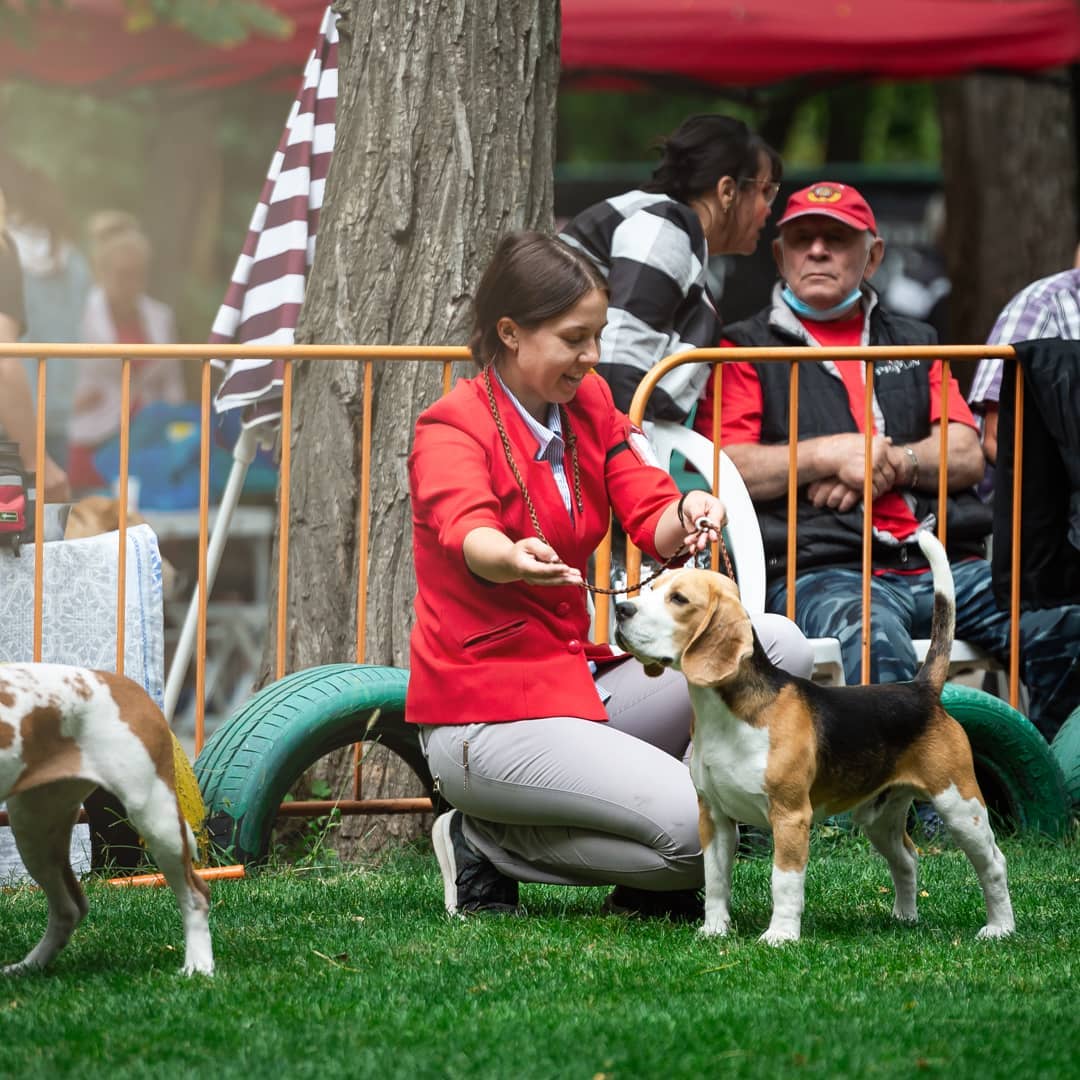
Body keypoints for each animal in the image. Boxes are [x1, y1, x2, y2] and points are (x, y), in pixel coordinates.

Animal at [1, 660, 213, 976]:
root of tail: (120, 683)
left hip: (156, 817)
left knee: (196, 895)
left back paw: (198, 966)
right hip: (34, 826)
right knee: (69, 908)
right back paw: (29, 967)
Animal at [617, 531, 1010, 946]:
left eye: (678, 599)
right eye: (652, 588)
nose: (622, 610)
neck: (729, 712)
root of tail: (920, 690)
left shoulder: (790, 816)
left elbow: (784, 881)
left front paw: (781, 935)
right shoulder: (714, 817)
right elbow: (716, 880)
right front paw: (714, 929)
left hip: (960, 805)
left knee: (994, 863)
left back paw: (999, 927)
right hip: (879, 816)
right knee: (907, 857)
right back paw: (905, 917)